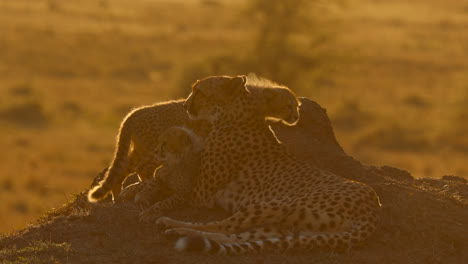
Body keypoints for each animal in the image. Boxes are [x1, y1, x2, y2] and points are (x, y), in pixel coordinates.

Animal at [155, 75, 382, 255]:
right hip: (289, 226)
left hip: (271, 205)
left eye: (198, 91)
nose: (185, 105)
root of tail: (373, 207)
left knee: (222, 226)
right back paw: (178, 230)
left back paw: (173, 225)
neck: (236, 116)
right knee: (236, 236)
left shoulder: (200, 195)